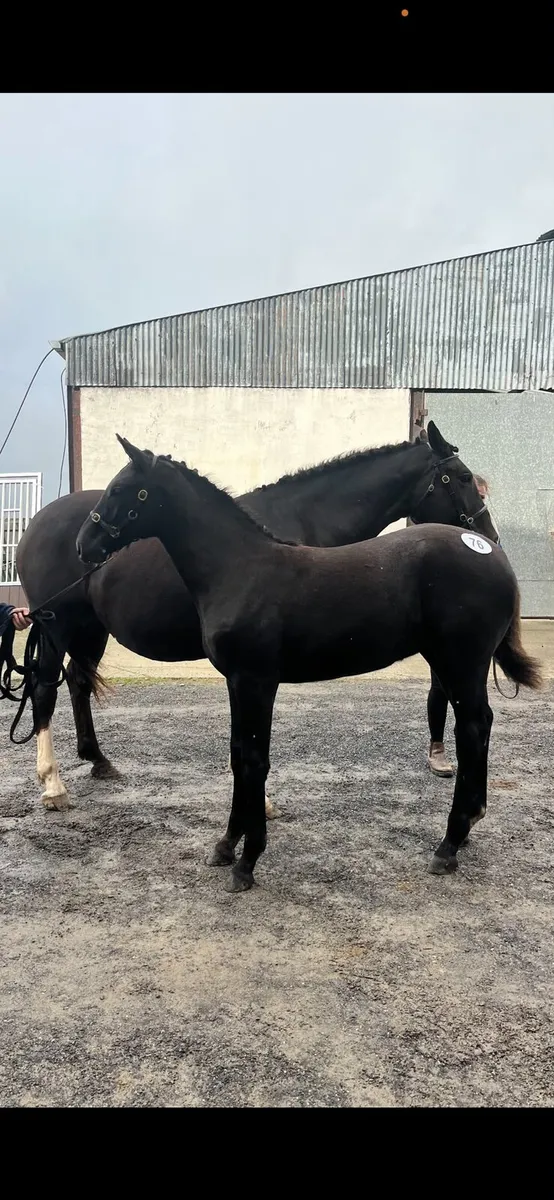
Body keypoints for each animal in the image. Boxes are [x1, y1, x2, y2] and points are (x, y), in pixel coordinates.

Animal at [15, 421, 497, 811]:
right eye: (464, 478)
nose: (489, 536)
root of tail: (35, 524)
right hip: (58, 626)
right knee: (44, 689)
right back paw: (53, 785)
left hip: (90, 630)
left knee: (77, 683)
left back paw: (98, 761)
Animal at [76, 436, 542, 894]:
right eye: (461, 478)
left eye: (122, 489)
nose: (85, 545)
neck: (239, 567)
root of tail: (495, 558)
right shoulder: (236, 681)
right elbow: (238, 755)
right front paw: (226, 844)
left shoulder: (257, 680)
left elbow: (254, 761)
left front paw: (247, 861)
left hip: (461, 661)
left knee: (474, 729)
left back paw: (449, 844)